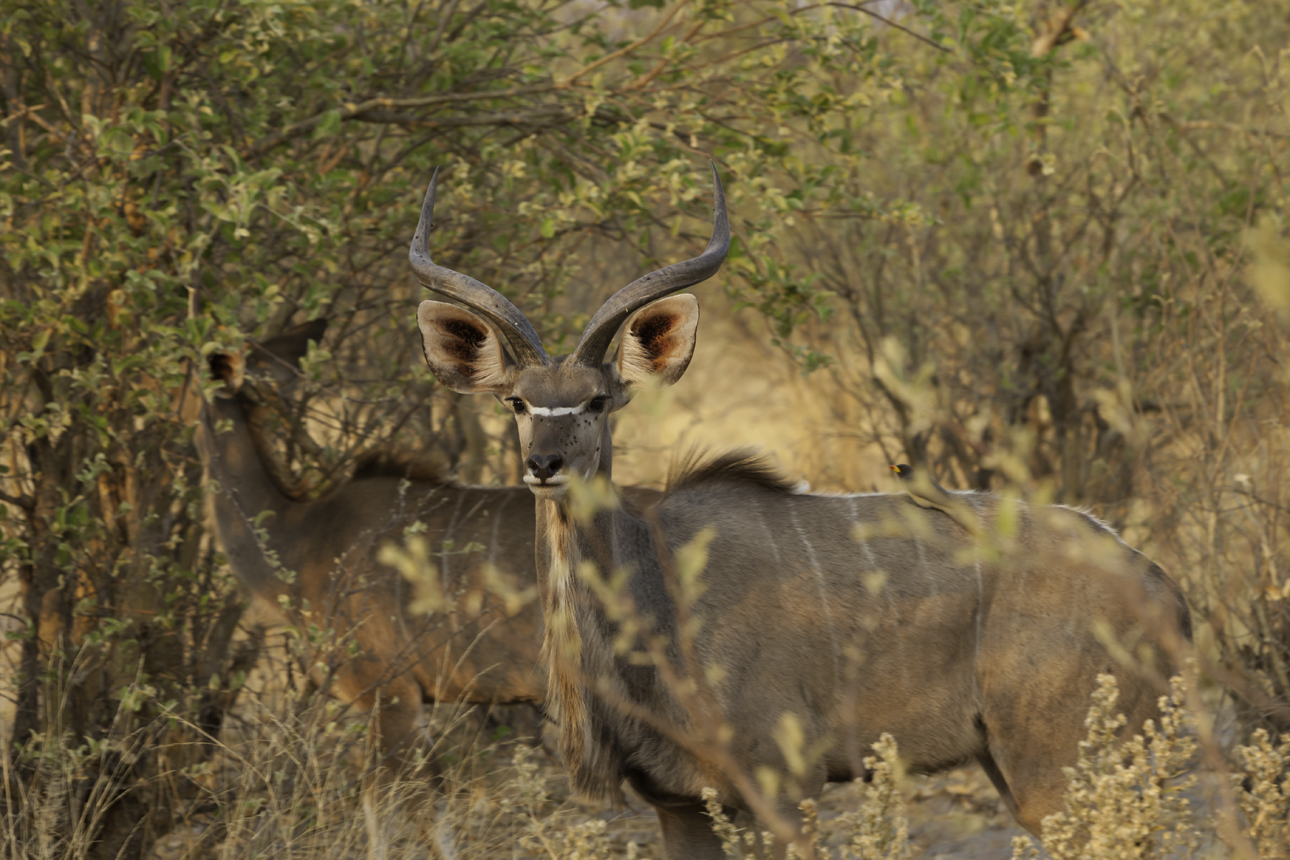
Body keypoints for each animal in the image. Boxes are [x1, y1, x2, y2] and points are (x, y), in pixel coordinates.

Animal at [408, 166, 1193, 858]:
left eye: (597, 401)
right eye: (517, 402)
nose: (544, 465)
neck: (660, 593)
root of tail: (1161, 585)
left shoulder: (783, 787)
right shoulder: (679, 805)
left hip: (1053, 766)